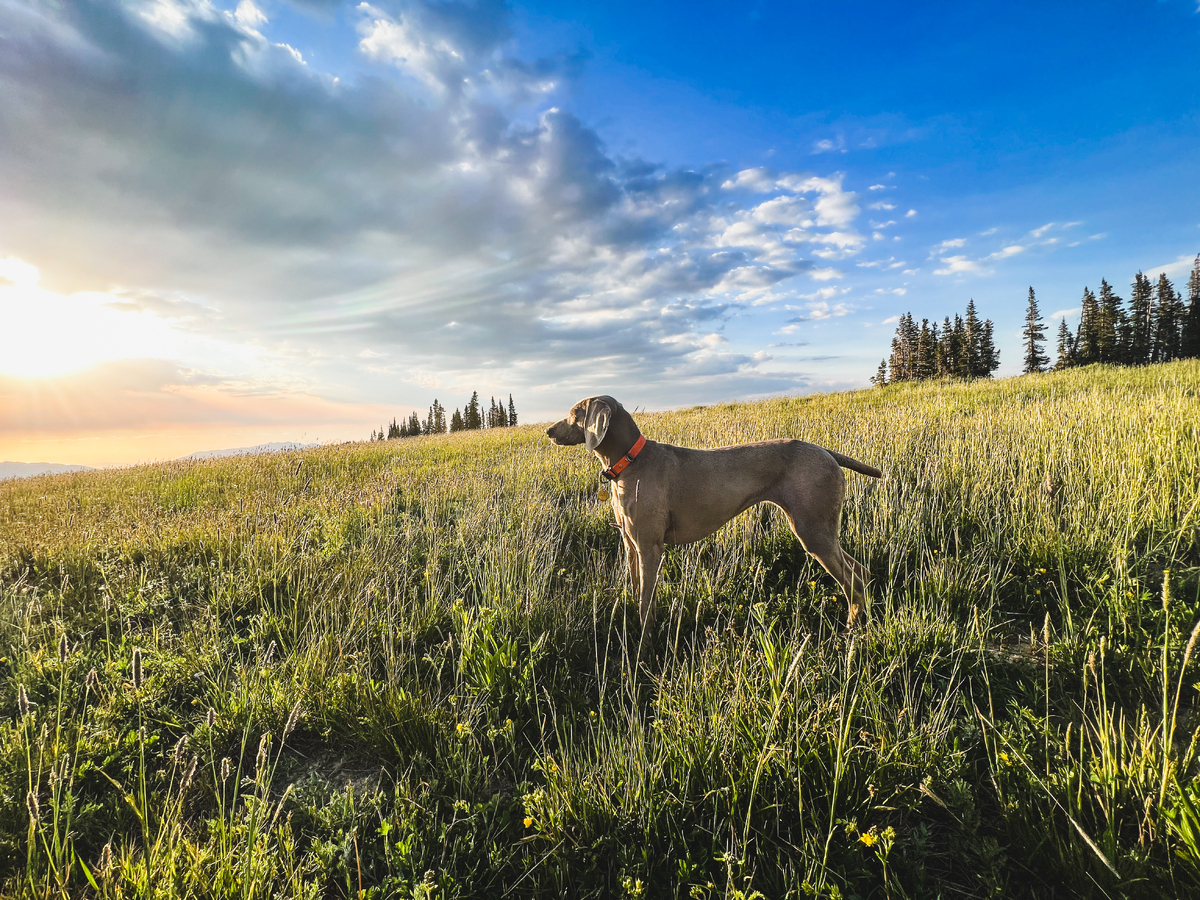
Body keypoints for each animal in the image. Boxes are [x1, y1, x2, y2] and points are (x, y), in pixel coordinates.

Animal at [547, 393, 883, 643]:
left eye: (575, 412)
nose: (548, 431)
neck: (630, 461)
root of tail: (826, 452)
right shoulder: (630, 544)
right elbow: (635, 591)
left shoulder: (650, 547)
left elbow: (645, 602)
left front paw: (644, 644)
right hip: (820, 530)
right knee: (862, 573)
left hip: (813, 529)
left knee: (853, 579)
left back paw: (850, 630)